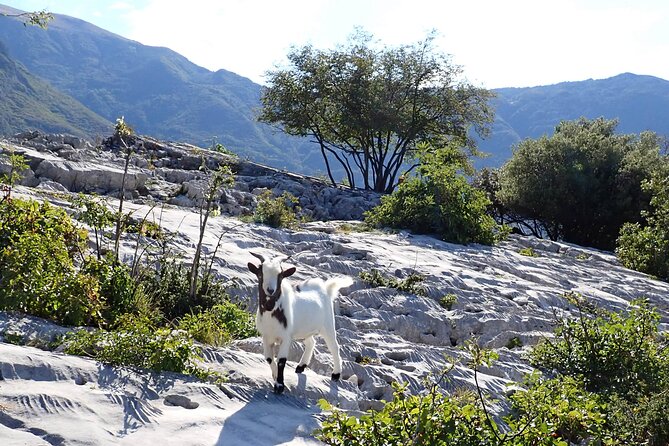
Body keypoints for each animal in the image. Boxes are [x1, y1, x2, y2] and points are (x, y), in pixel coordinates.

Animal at [245, 253, 350, 392]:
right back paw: (301, 366)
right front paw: (274, 376)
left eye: (280, 275)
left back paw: (336, 374)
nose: (270, 290)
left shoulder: (286, 337)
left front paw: (279, 386)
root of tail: (326, 289)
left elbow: (281, 360)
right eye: (261, 274)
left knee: (334, 346)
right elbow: (269, 358)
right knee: (311, 343)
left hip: (328, 324)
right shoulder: (266, 337)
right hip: (305, 331)